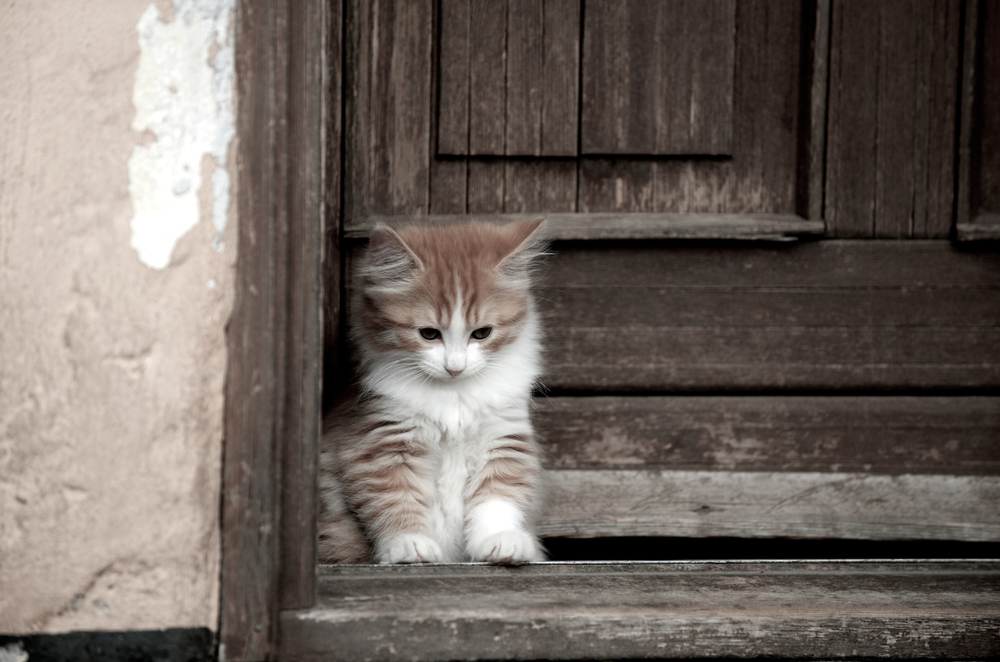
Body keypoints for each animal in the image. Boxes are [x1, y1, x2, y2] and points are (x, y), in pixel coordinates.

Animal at [318, 218, 548, 564]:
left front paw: (501, 540)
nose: (455, 367)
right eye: (428, 334)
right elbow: (396, 500)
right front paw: (410, 544)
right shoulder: (382, 442)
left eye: (482, 333)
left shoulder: (502, 439)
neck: (454, 397)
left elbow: (497, 498)